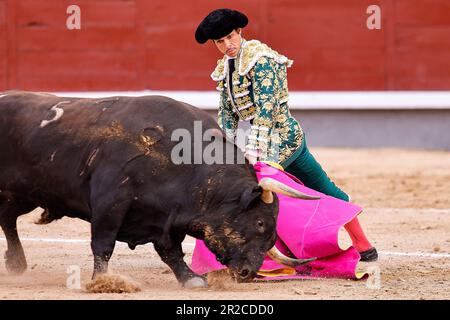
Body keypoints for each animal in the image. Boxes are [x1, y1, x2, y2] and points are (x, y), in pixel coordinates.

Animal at [0, 90, 316, 288]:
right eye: (260, 222)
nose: (249, 272)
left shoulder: (168, 217)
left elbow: (171, 252)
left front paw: (192, 279)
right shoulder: (110, 203)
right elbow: (103, 245)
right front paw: (102, 281)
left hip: (24, 195)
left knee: (7, 218)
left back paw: (16, 264)